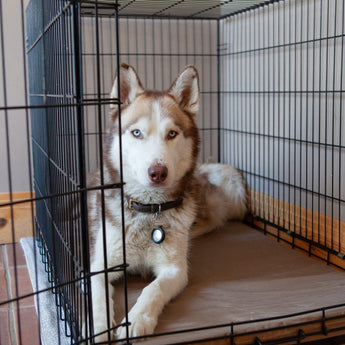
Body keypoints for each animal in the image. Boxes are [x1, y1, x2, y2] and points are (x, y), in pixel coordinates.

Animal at [87, 63, 246, 340]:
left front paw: (138, 319)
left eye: (172, 133)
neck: (148, 210)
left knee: (210, 221)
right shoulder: (98, 265)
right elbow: (98, 299)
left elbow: (153, 289)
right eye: (136, 133)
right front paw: (98, 329)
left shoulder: (175, 270)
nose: (158, 172)